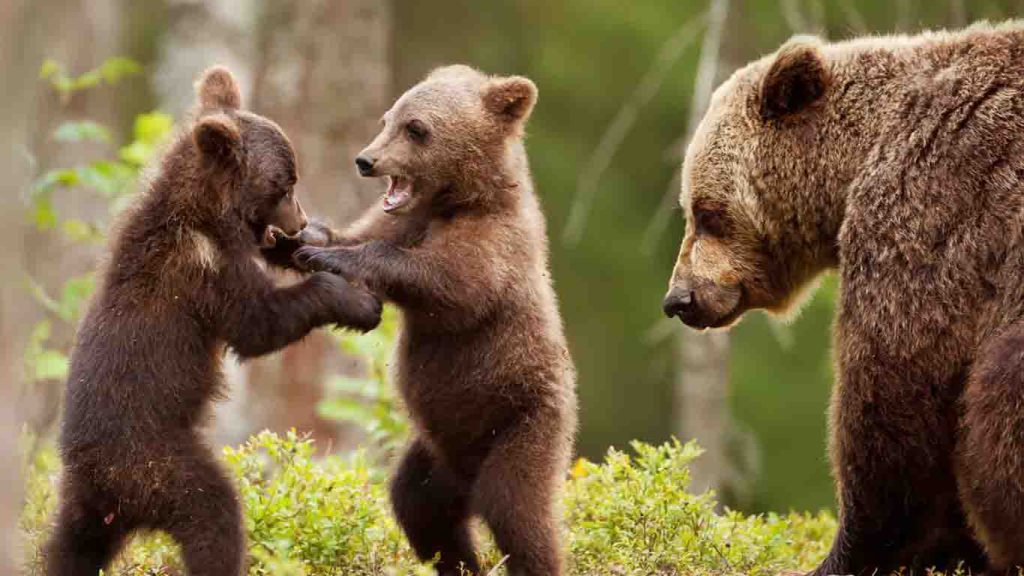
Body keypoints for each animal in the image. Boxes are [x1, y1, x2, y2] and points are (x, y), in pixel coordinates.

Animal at [45, 67, 382, 576]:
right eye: (286, 184)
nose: (300, 219)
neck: (208, 214)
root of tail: (105, 487)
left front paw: (317, 247)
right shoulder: (204, 272)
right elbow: (259, 322)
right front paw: (359, 303)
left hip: (84, 507)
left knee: (67, 548)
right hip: (158, 465)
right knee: (214, 511)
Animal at [293, 65, 577, 576]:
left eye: (417, 128)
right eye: (387, 118)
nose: (365, 160)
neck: (457, 200)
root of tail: (467, 477)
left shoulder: (494, 245)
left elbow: (448, 284)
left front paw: (331, 256)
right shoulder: (403, 219)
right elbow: (360, 232)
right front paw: (309, 237)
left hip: (523, 423)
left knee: (518, 511)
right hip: (437, 451)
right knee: (419, 505)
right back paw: (460, 561)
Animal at [661, 23, 1024, 576]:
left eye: (707, 212)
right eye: (691, 209)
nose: (679, 298)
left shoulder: (932, 209)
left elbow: (893, 392)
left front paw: (849, 552)